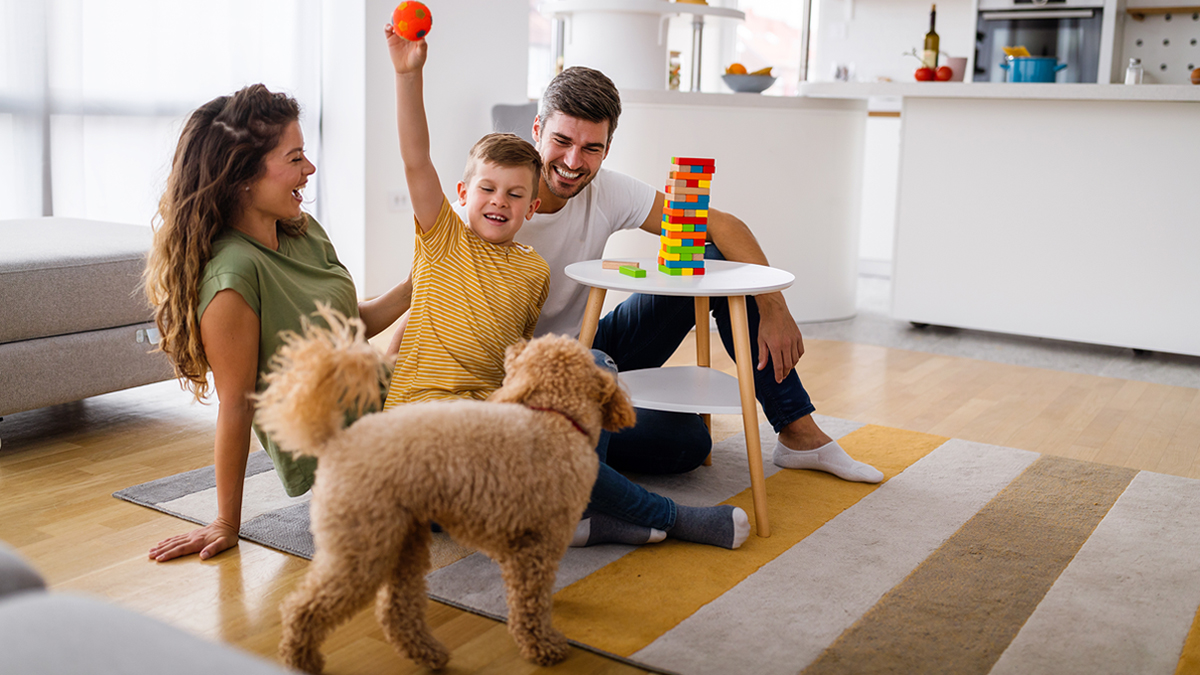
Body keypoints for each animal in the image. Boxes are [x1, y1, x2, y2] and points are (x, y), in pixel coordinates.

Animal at [254, 305, 638, 667]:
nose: (514, 346)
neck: (555, 418)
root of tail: (336, 441)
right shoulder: (536, 548)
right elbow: (531, 604)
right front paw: (543, 646)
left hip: (403, 541)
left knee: (394, 609)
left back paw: (427, 653)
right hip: (362, 547)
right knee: (302, 607)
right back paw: (300, 660)